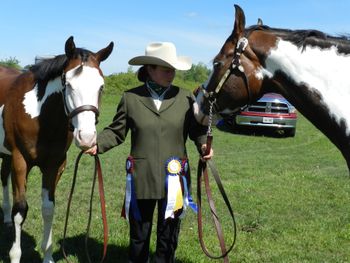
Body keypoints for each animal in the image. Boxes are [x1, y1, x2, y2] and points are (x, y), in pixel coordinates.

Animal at [0, 36, 113, 262]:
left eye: (101, 86)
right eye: (68, 84)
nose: (87, 137)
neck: (39, 115)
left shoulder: (55, 165)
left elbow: (48, 209)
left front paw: (48, 255)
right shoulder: (20, 160)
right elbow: (21, 209)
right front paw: (15, 255)